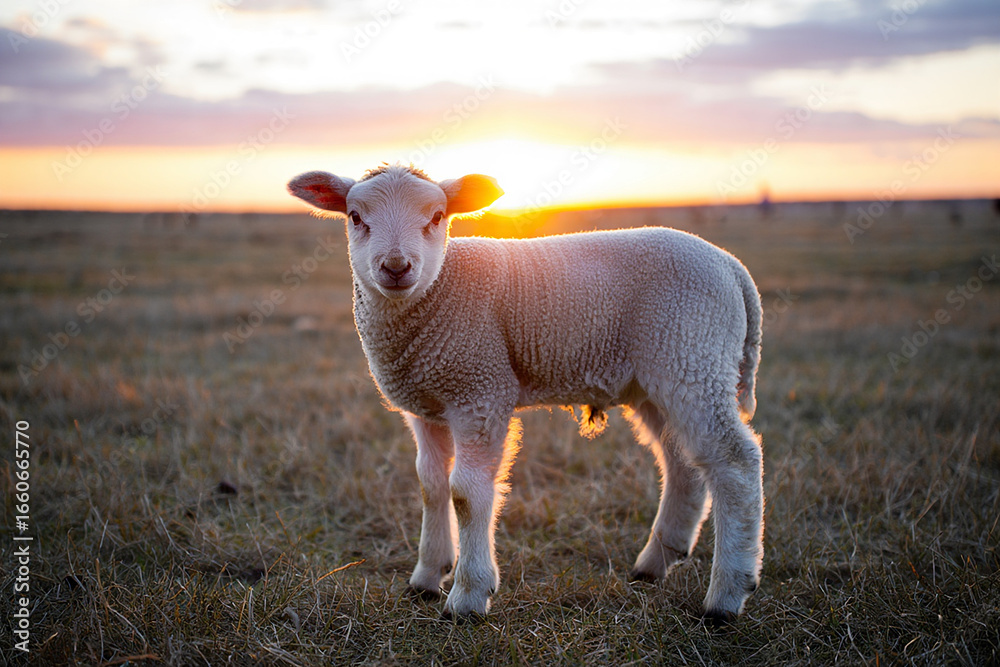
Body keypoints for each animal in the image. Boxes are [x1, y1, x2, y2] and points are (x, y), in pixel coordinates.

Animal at [287, 164, 764, 623]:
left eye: (437, 217)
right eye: (355, 217)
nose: (396, 267)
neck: (440, 287)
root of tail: (734, 269)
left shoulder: (480, 390)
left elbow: (466, 493)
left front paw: (468, 596)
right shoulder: (426, 404)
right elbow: (430, 485)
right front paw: (426, 577)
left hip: (692, 356)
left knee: (735, 463)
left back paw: (726, 596)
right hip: (659, 380)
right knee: (683, 463)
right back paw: (656, 562)